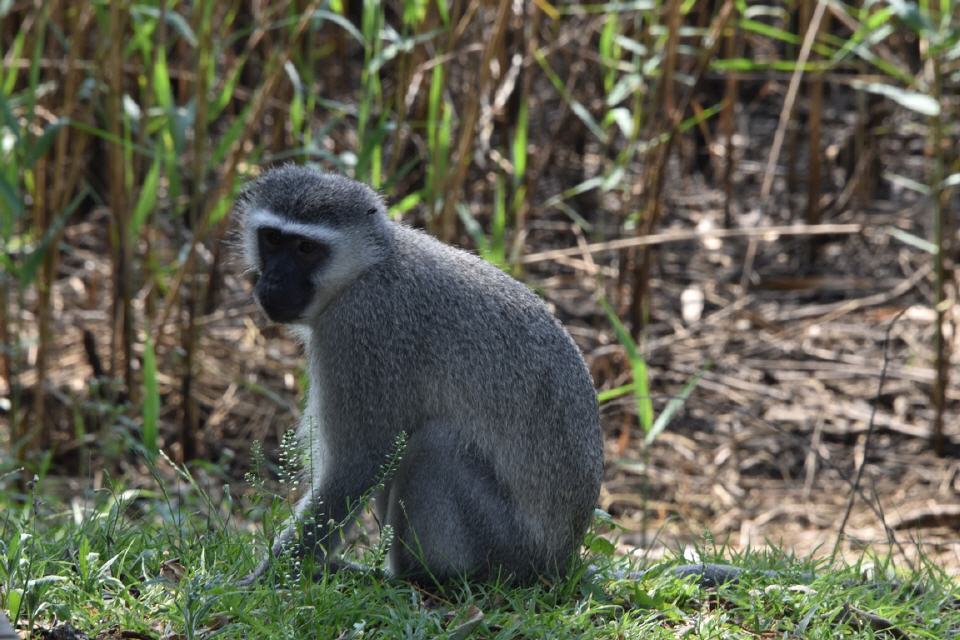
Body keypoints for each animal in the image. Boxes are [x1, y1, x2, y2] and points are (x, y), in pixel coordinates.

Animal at [235, 166, 600, 584]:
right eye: (273, 239)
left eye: (305, 249)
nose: (274, 281)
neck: (370, 268)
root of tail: (559, 562)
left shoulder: (362, 328)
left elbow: (358, 464)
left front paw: (265, 579)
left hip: (505, 547)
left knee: (434, 445)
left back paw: (413, 576)